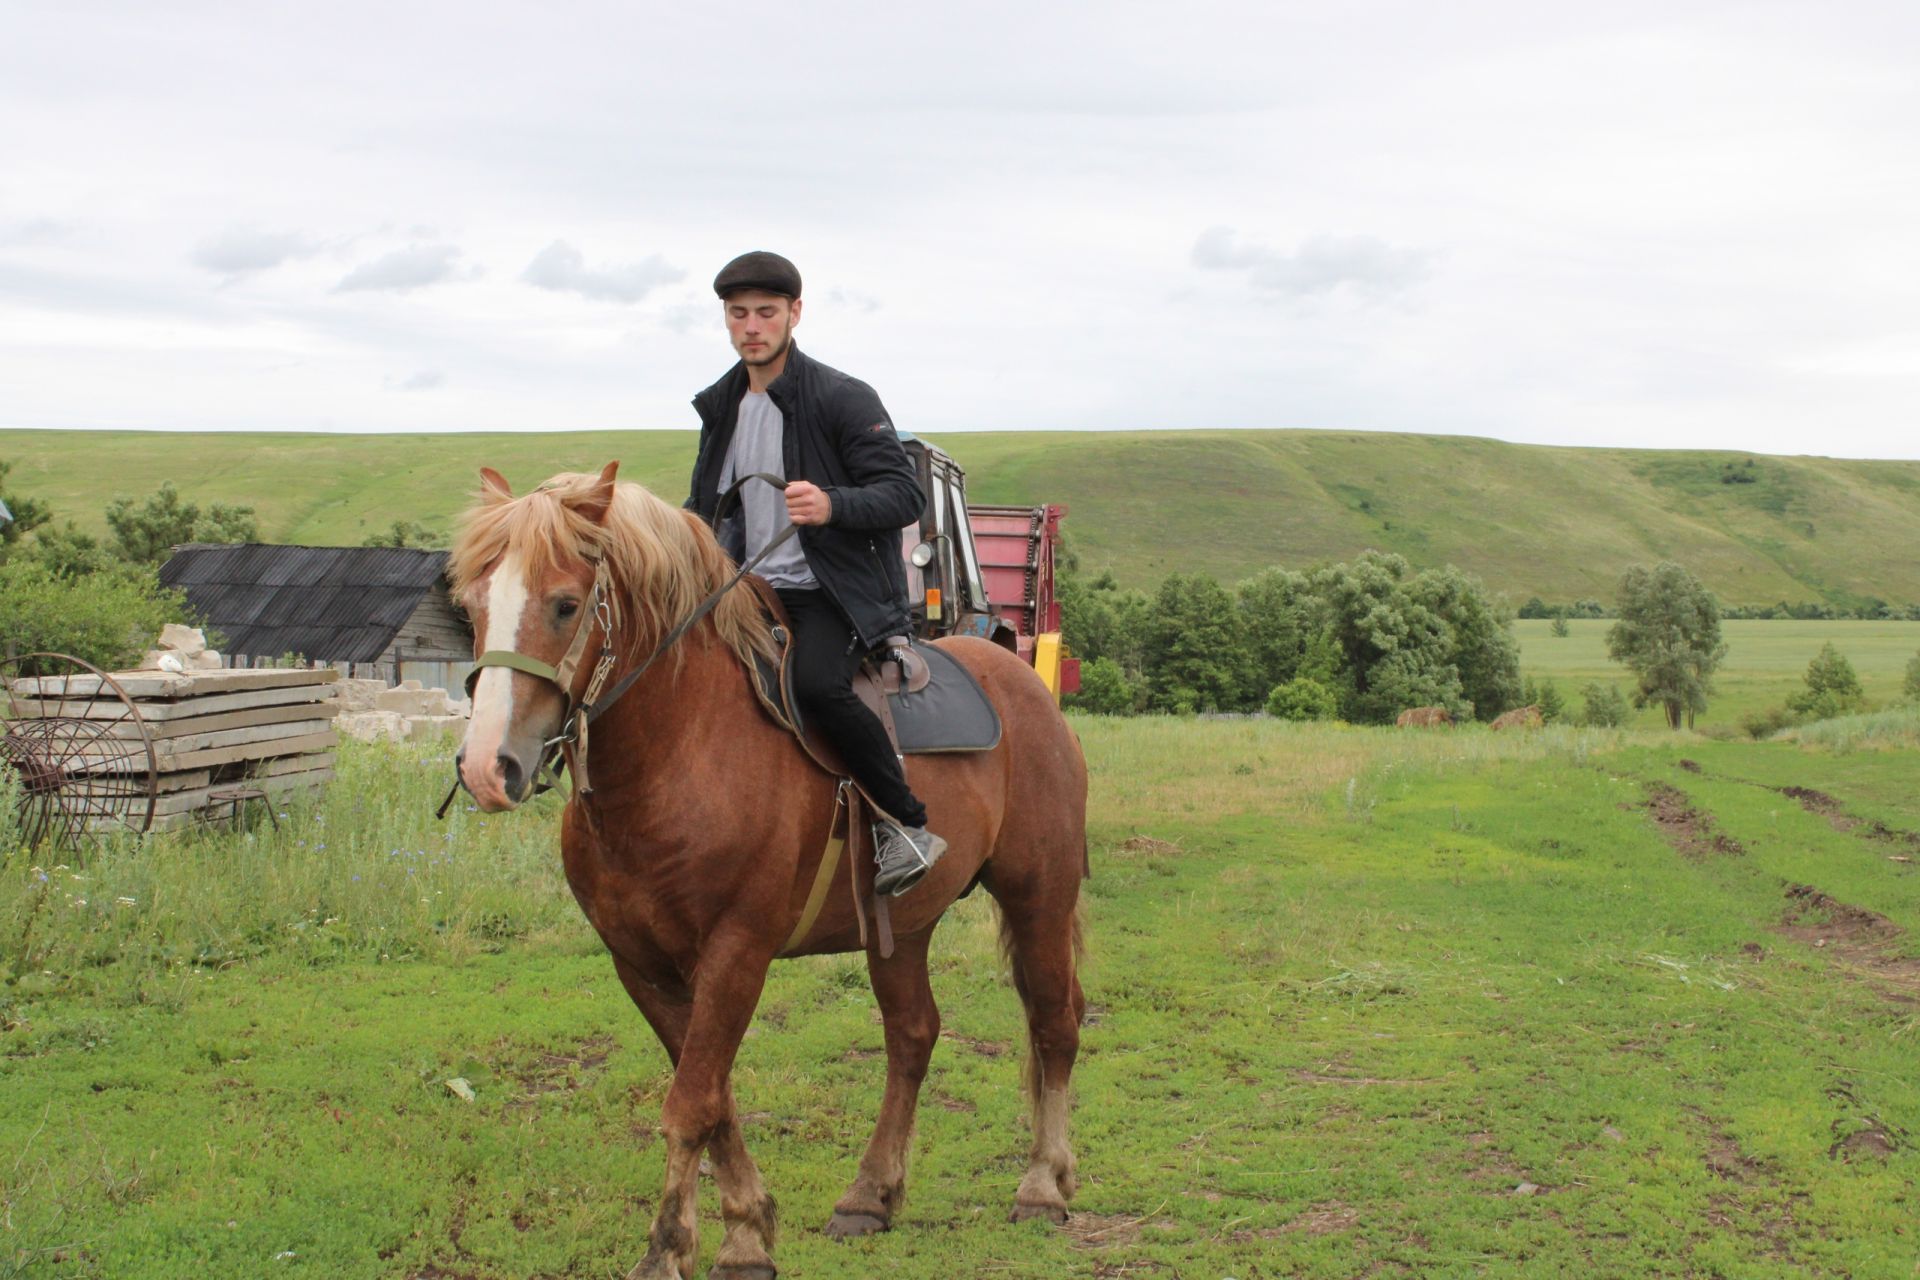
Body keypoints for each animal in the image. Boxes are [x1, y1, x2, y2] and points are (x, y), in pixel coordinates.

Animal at [441, 466, 1090, 1274]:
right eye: (471, 605)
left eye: (564, 604)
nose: (486, 769)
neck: (680, 753)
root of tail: (1023, 681)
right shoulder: (641, 965)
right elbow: (713, 1097)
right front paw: (747, 1229)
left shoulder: (736, 952)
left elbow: (692, 1102)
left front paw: (670, 1248)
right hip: (903, 925)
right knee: (913, 1035)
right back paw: (870, 1194)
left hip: (1039, 895)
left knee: (1054, 1024)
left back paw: (1042, 1185)